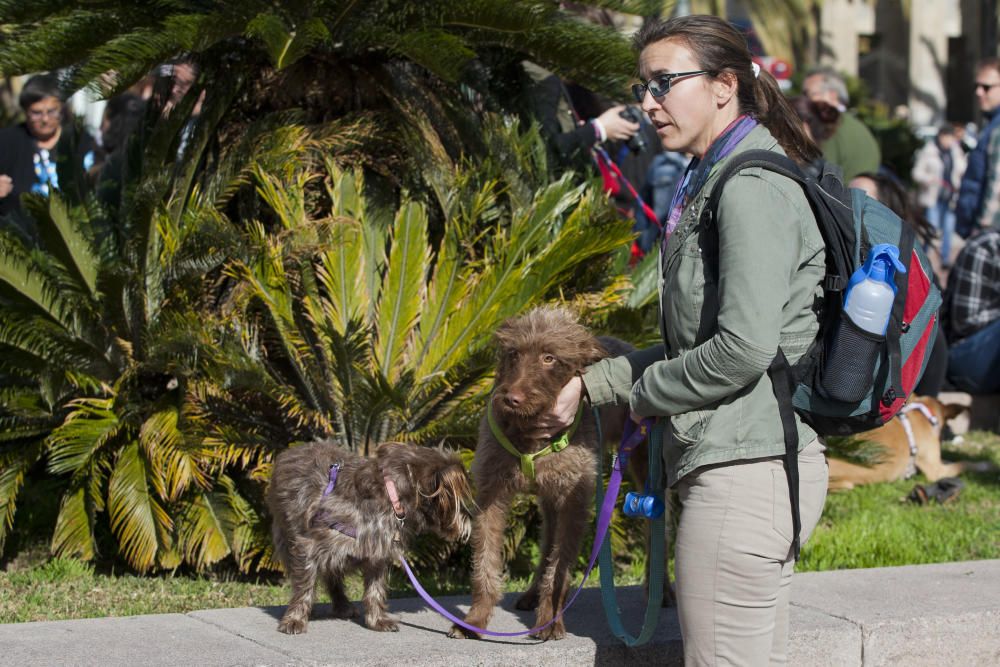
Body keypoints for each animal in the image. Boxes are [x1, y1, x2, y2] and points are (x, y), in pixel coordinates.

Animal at [270, 440, 472, 636]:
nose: (469, 518)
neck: (391, 495)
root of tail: (293, 450)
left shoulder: (377, 553)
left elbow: (375, 590)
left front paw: (377, 620)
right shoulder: (308, 546)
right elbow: (304, 586)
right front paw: (295, 619)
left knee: (333, 576)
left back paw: (342, 605)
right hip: (285, 537)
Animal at [450, 308, 636, 640]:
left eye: (549, 358)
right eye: (514, 354)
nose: (511, 399)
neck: (531, 431)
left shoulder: (575, 500)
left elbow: (559, 570)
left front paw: (549, 619)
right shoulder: (491, 493)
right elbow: (485, 564)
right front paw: (475, 619)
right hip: (549, 498)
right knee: (548, 537)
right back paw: (531, 594)